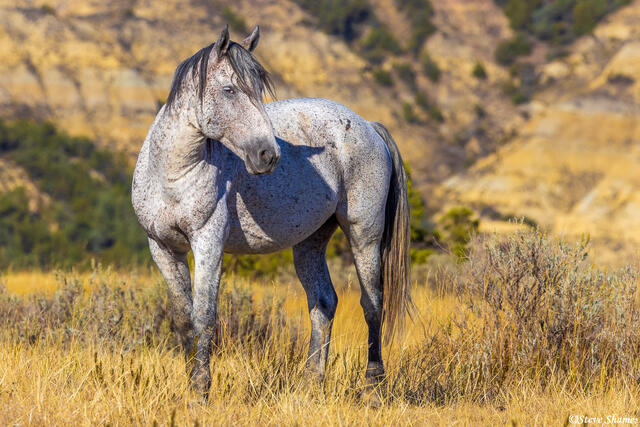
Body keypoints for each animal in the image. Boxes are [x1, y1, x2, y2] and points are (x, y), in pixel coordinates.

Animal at [132, 25, 411, 402]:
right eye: (230, 89)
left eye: (258, 89)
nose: (268, 155)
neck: (173, 175)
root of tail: (368, 124)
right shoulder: (163, 247)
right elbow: (183, 319)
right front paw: (188, 385)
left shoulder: (207, 243)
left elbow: (204, 315)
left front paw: (201, 389)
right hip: (310, 242)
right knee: (323, 303)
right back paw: (310, 384)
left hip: (364, 235)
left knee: (372, 304)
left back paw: (372, 385)